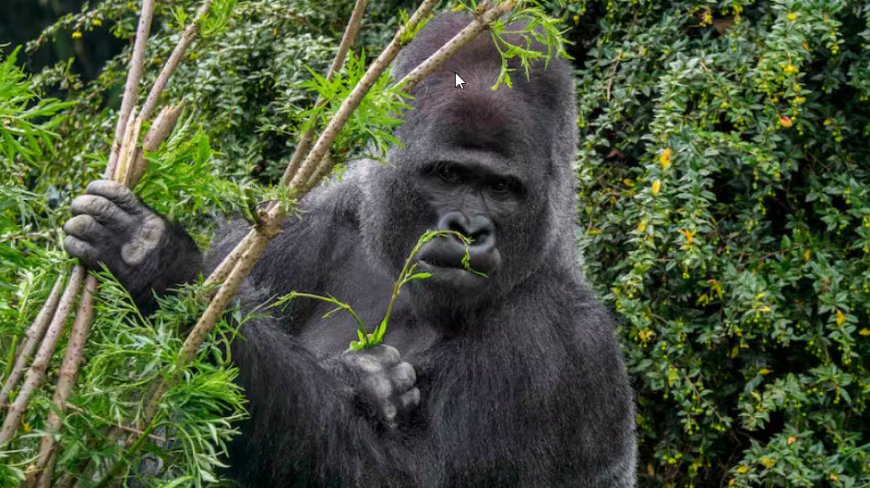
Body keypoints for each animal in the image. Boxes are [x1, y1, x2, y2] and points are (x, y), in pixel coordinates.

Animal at [61, 11, 632, 488]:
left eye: (502, 189)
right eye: (449, 175)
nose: (469, 229)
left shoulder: (562, 345)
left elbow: (400, 475)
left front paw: (161, 267)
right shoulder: (290, 228)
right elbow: (149, 420)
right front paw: (366, 380)